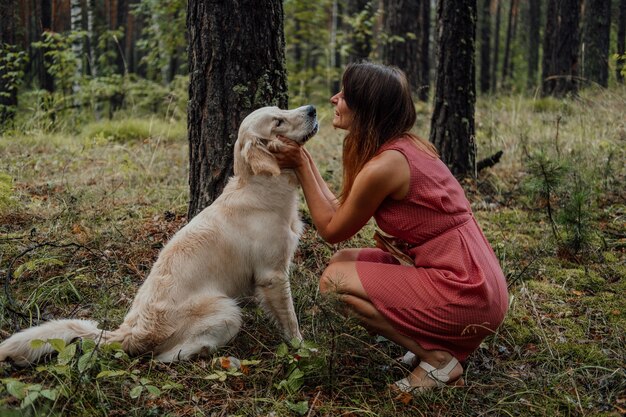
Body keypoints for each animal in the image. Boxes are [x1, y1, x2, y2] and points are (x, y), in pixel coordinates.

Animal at [0, 105, 320, 364]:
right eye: (278, 121)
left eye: (281, 108)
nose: (313, 109)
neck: (260, 187)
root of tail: (128, 332)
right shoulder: (273, 275)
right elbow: (290, 320)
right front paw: (302, 348)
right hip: (227, 310)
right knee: (167, 356)